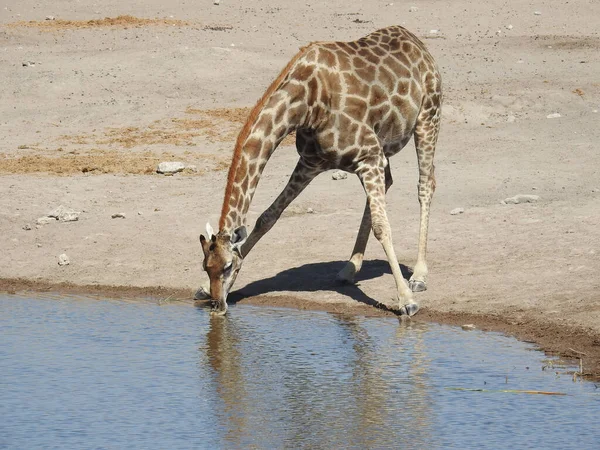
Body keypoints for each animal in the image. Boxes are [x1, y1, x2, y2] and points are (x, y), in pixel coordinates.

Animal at [199, 24, 438, 316]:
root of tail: (416, 42)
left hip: (427, 116)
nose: (217, 306)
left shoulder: (368, 155)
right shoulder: (312, 162)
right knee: (389, 182)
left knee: (425, 184)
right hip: (381, 148)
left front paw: (406, 300)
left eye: (227, 266)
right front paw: (213, 288)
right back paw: (349, 268)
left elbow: (383, 227)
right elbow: (267, 217)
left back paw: (418, 276)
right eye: (206, 267)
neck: (305, 104)